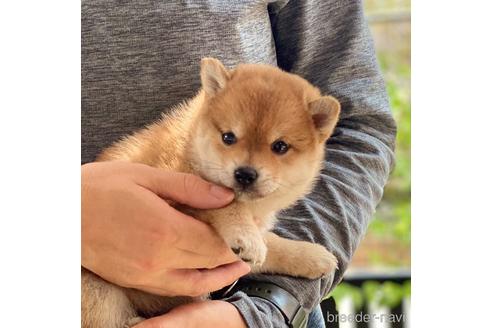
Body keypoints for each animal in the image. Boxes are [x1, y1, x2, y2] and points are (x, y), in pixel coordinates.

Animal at [81, 59, 342, 328]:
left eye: (280, 146)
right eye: (228, 137)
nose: (245, 174)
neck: (190, 151)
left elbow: (272, 245)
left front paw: (310, 256)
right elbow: (227, 206)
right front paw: (246, 236)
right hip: (98, 288)